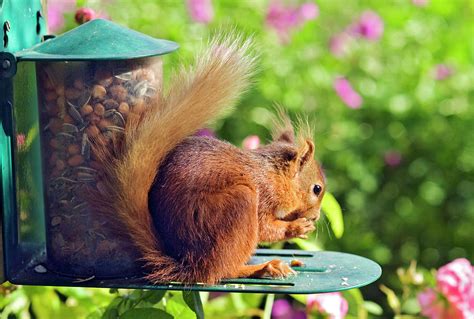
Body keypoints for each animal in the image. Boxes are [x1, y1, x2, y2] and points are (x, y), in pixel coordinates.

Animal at [89, 35, 326, 284]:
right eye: (317, 189)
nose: (316, 216)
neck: (273, 175)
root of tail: (188, 264)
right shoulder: (264, 196)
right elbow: (265, 228)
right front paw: (297, 227)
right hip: (239, 206)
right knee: (222, 270)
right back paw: (263, 267)